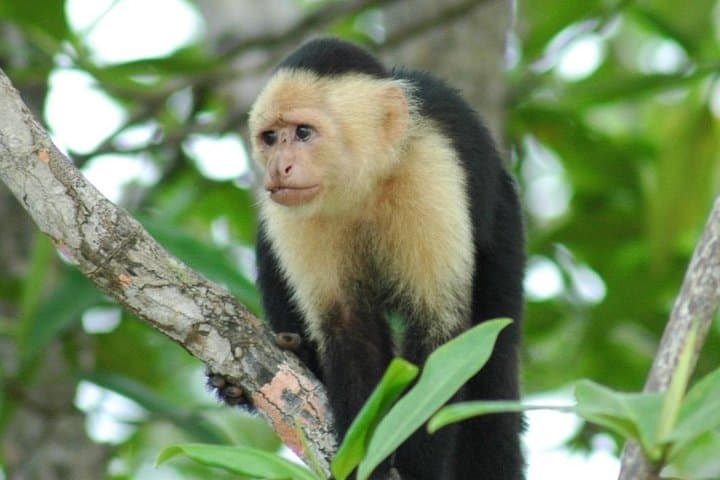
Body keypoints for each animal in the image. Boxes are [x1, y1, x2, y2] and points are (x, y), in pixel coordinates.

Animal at [217, 37, 525, 480]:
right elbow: (348, 327)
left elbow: (441, 335)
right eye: (271, 137)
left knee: (494, 365)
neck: (363, 186)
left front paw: (411, 466)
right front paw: (363, 460)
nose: (279, 167)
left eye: (304, 132)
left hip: (503, 221)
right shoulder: (292, 214)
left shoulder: (430, 171)